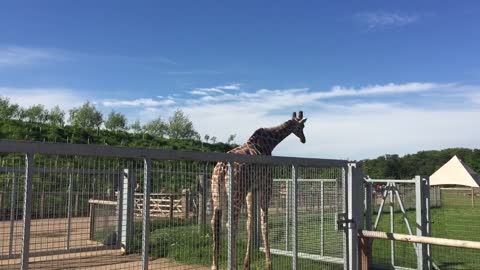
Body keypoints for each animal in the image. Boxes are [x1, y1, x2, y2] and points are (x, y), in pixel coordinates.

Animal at [211, 110, 308, 268]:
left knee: (216, 222)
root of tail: (221, 168)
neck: (270, 143)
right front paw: (269, 264)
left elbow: (250, 224)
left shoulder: (252, 190)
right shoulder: (266, 185)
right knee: (231, 223)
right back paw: (233, 264)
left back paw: (215, 265)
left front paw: (247, 263)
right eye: (302, 126)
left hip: (217, 192)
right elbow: (264, 224)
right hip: (236, 192)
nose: (304, 139)